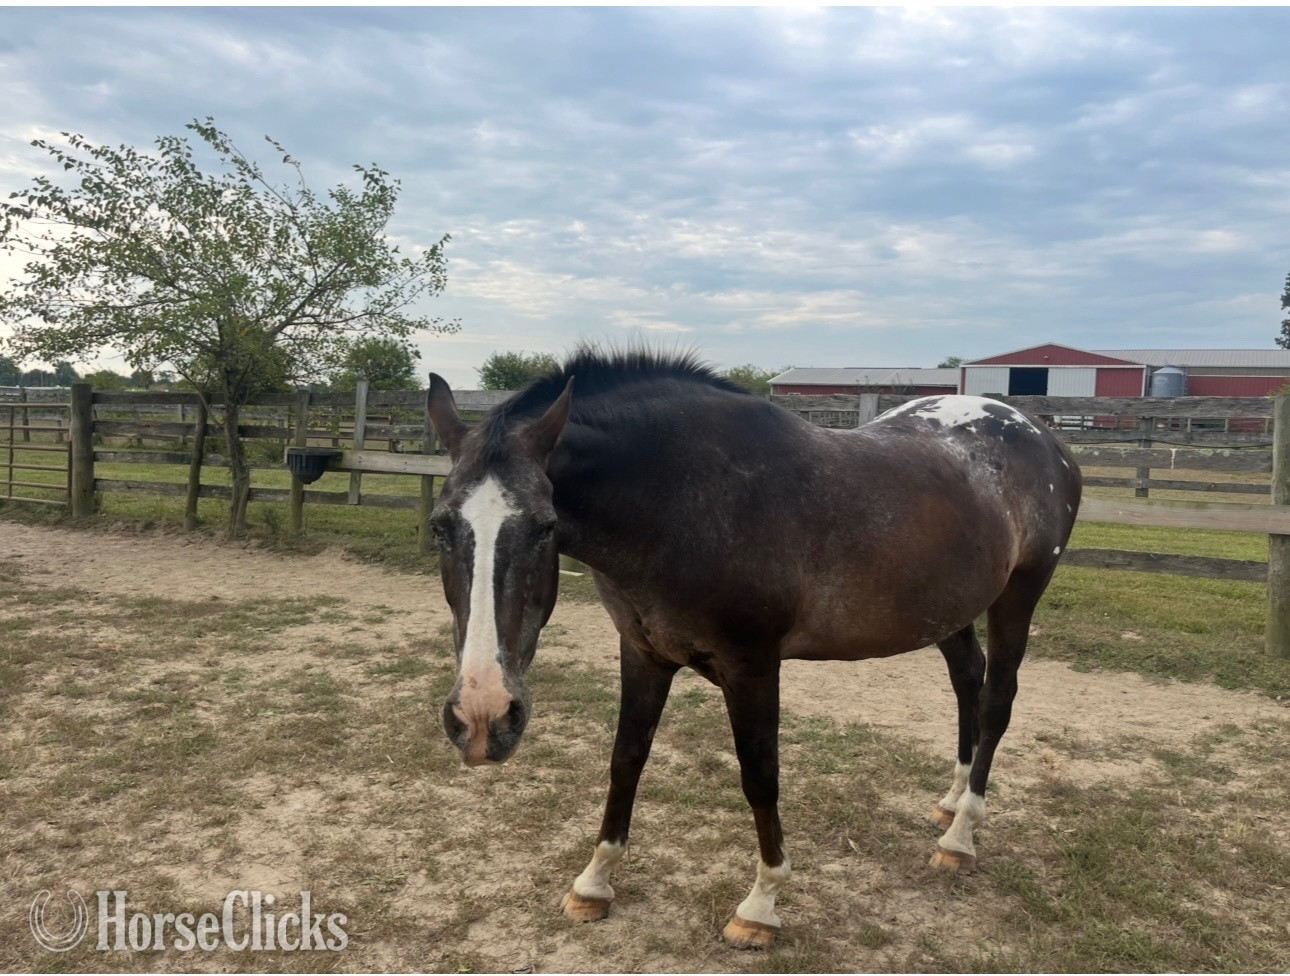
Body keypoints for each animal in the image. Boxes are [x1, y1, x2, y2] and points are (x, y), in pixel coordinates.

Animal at [424, 348, 1082, 949]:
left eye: (544, 526)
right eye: (439, 526)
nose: (482, 717)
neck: (682, 498)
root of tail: (1042, 436)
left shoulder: (752, 667)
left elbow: (759, 776)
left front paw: (761, 906)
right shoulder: (643, 653)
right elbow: (626, 759)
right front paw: (594, 882)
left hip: (1018, 596)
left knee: (995, 700)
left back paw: (961, 836)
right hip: (948, 610)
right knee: (968, 680)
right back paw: (950, 801)